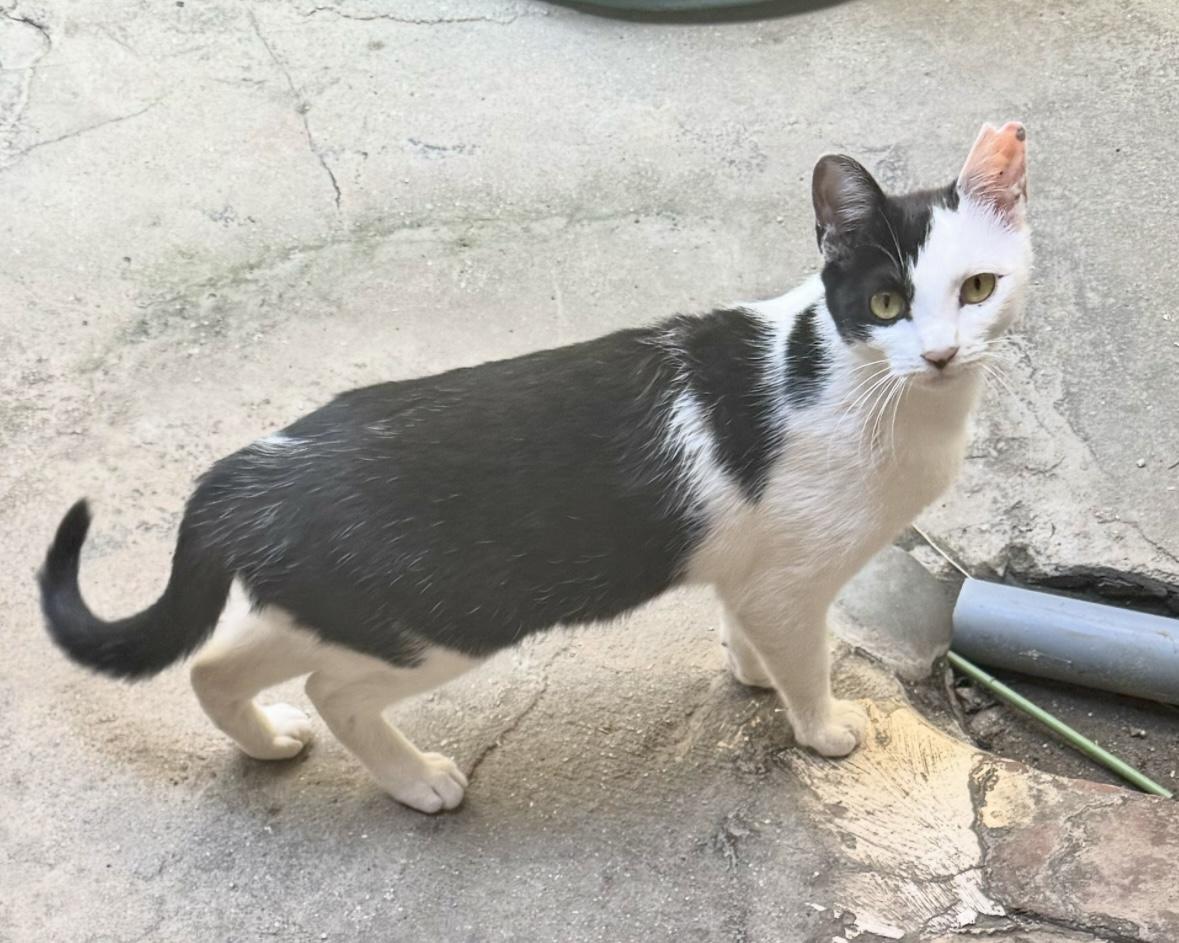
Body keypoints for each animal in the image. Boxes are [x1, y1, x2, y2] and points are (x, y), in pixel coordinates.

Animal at [40, 121, 1031, 814]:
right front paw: (820, 727)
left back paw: (268, 743)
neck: (871, 389)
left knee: (214, 664)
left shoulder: (749, 570)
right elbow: (805, 655)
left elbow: (744, 623)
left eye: (978, 287)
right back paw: (416, 780)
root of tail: (248, 468)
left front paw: (747, 670)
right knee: (330, 688)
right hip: (440, 619)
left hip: (346, 607)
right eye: (887, 301)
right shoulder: (791, 582)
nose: (940, 353)